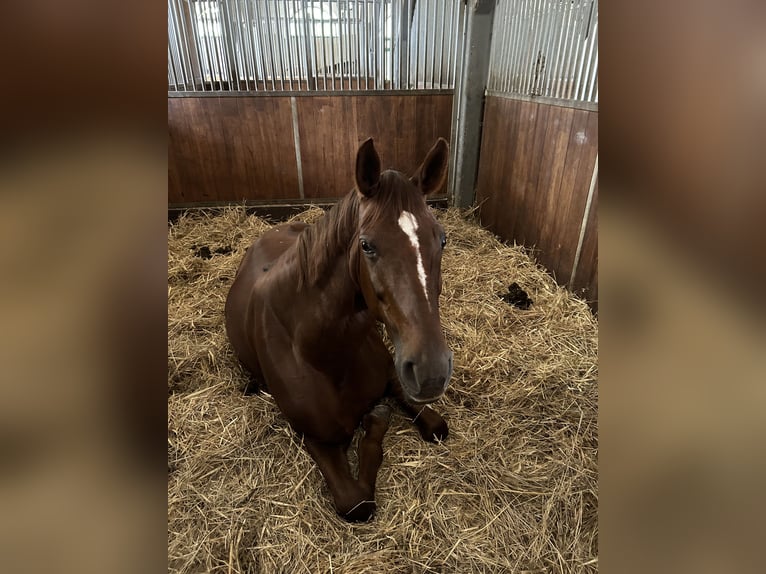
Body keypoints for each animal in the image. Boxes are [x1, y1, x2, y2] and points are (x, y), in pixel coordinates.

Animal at [228, 138, 456, 520]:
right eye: (367, 245)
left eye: (441, 240)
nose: (431, 371)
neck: (322, 352)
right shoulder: (316, 438)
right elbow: (356, 502)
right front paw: (376, 420)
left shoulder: (394, 376)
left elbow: (435, 425)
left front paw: (378, 416)